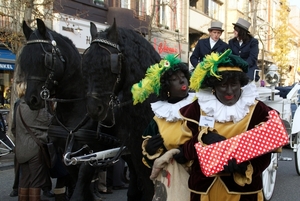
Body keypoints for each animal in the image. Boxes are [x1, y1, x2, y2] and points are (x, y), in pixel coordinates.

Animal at [17, 18, 118, 201]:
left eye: (46, 58)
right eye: (25, 60)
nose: (31, 99)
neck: (74, 110)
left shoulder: (90, 154)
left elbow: (80, 189)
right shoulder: (66, 156)